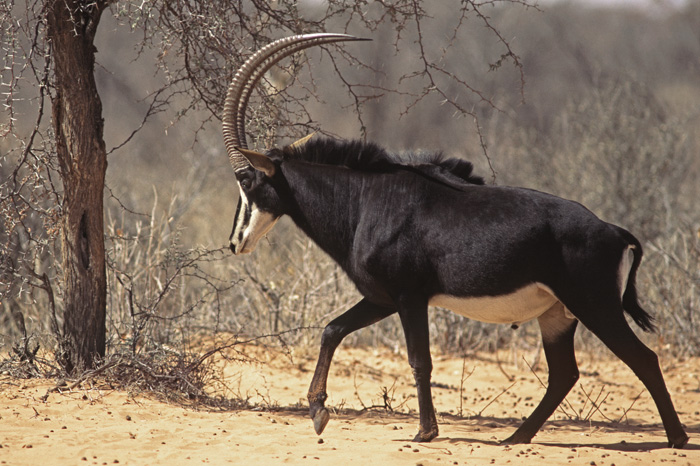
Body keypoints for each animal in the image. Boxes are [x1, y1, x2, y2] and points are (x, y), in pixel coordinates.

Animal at [223, 32, 688, 448]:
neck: (364, 200)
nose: (234, 243)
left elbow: (419, 361)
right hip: (557, 314)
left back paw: (677, 437)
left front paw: (425, 432)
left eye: (247, 181)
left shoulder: (408, 297)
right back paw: (516, 437)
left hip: (594, 305)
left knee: (642, 358)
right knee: (564, 374)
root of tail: (613, 231)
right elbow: (332, 330)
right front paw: (319, 412)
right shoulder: (382, 298)